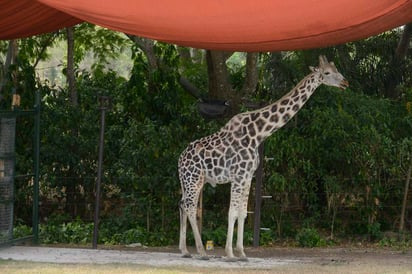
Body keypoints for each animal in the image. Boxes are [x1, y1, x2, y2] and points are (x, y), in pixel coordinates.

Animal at [179, 55, 350, 262]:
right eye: (327, 73)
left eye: (337, 70)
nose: (345, 82)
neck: (259, 134)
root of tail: (180, 160)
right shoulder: (238, 176)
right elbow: (232, 212)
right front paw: (229, 254)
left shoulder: (247, 177)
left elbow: (243, 213)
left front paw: (241, 253)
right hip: (194, 179)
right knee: (190, 206)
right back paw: (202, 252)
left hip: (192, 181)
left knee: (182, 204)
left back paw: (185, 250)